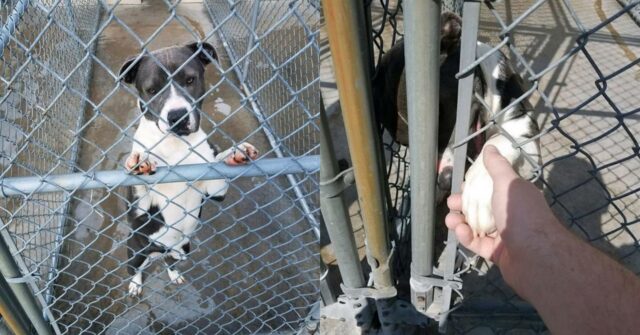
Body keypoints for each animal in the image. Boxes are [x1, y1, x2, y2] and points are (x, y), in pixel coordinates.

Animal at [119, 42, 258, 296]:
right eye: (151, 90)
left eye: (190, 80)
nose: (177, 116)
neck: (176, 144)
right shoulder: (139, 210)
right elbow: (140, 185)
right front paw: (140, 162)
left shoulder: (214, 190)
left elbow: (217, 167)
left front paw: (235, 153)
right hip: (135, 252)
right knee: (135, 268)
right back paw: (135, 284)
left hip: (184, 248)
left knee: (170, 261)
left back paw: (174, 273)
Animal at [372, 13, 544, 238]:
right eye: (407, 145)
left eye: (440, 112)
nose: (445, 180)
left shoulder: (525, 123)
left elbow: (499, 141)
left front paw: (479, 190)